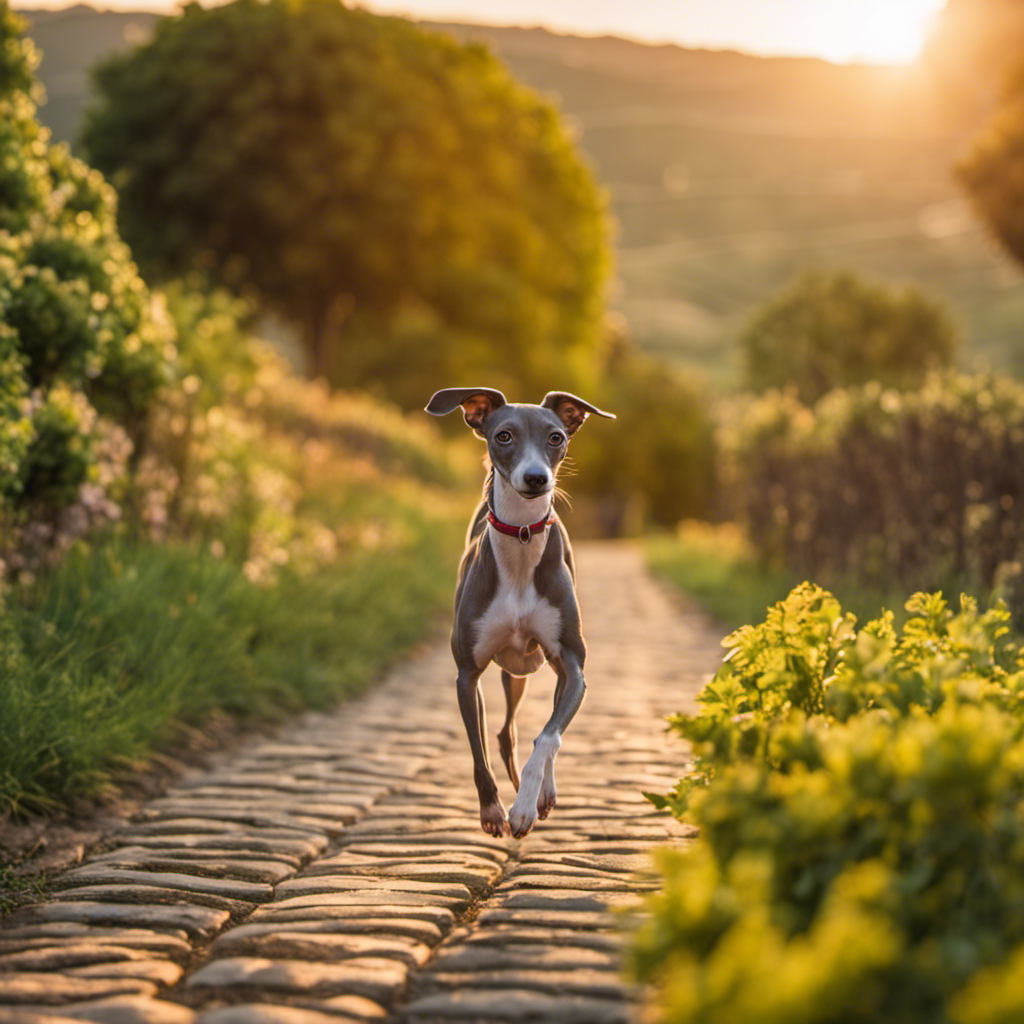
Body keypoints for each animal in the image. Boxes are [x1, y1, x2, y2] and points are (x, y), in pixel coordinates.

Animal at [425, 387, 614, 835]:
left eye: (556, 437)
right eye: (504, 435)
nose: (536, 479)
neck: (523, 540)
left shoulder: (573, 664)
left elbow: (548, 737)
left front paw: (526, 804)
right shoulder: (467, 674)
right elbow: (478, 753)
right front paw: (493, 810)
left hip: (536, 669)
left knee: (534, 732)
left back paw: (543, 792)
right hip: (510, 674)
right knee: (503, 734)